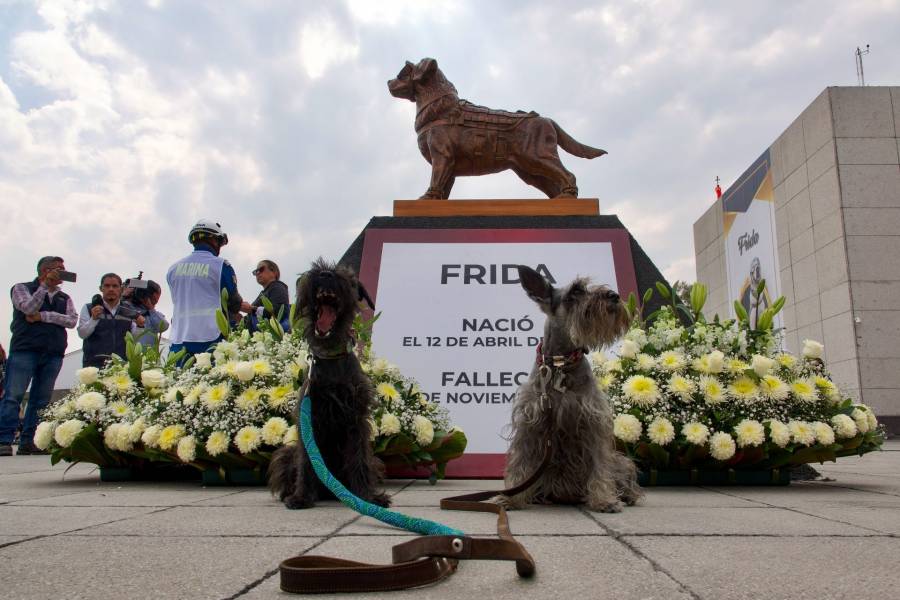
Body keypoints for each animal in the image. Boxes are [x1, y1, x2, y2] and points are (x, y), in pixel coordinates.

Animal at [268, 260, 392, 508]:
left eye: (348, 277)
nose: (325, 274)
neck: (331, 356)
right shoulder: (310, 418)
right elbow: (307, 461)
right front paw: (301, 496)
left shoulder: (356, 418)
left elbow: (359, 457)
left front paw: (368, 496)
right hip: (287, 453)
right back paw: (291, 492)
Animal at [500, 264, 640, 512]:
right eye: (576, 291)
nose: (614, 296)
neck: (560, 365)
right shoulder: (529, 424)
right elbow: (520, 462)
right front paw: (512, 498)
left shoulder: (594, 422)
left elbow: (599, 466)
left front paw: (604, 499)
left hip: (620, 461)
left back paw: (628, 495)